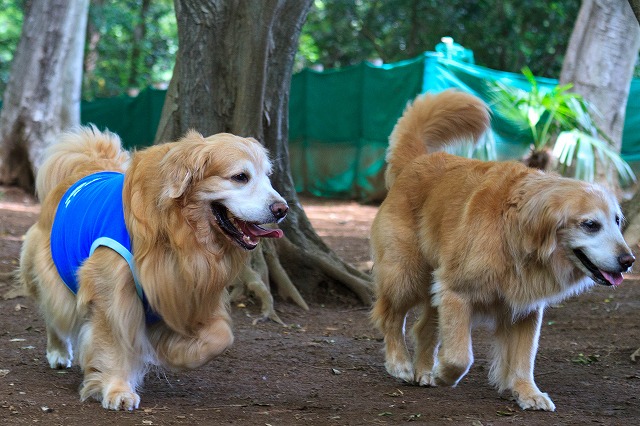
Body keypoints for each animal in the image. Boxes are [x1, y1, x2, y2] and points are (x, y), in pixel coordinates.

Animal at [18, 126, 288, 410]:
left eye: (268, 176)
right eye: (240, 177)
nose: (282, 209)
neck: (176, 231)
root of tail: (89, 165)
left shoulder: (188, 291)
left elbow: (221, 336)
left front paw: (176, 352)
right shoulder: (113, 291)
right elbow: (114, 340)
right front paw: (117, 389)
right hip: (51, 275)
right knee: (54, 311)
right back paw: (58, 351)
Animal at [370, 89, 636, 410]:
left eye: (617, 221)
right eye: (590, 225)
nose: (629, 261)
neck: (517, 236)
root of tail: (418, 160)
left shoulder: (525, 307)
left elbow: (523, 358)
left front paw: (527, 392)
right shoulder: (456, 292)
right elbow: (460, 357)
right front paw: (445, 374)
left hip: (433, 285)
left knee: (423, 328)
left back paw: (422, 370)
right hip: (406, 275)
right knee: (390, 317)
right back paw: (399, 363)